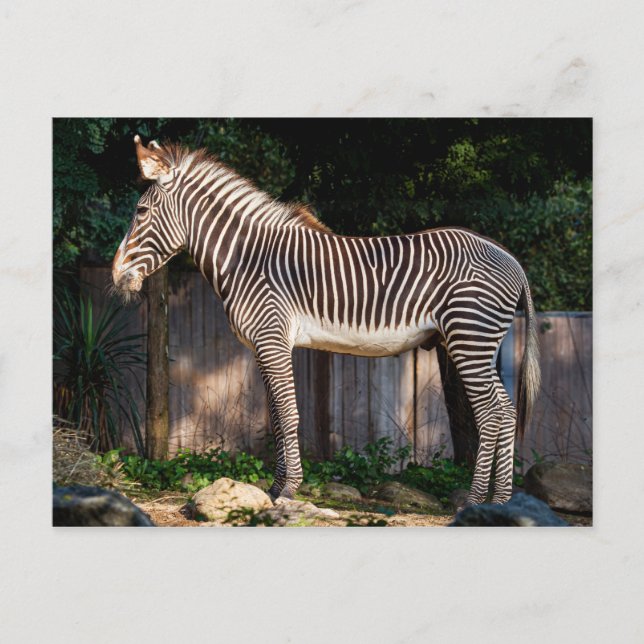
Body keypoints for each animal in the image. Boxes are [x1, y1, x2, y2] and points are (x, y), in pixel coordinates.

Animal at [112, 135, 540, 508]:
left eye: (140, 212)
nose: (116, 276)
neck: (247, 259)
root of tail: (512, 260)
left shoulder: (272, 340)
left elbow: (288, 414)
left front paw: (289, 489)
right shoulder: (265, 346)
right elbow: (275, 416)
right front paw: (275, 488)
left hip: (469, 337)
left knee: (491, 413)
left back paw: (474, 500)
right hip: (477, 343)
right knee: (506, 411)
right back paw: (500, 501)